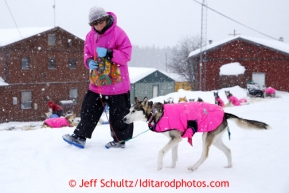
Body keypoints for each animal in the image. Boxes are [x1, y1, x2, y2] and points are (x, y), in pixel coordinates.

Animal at [121, 97, 268, 171]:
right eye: (129, 110)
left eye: (133, 111)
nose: (123, 119)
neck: (156, 113)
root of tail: (224, 113)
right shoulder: (175, 139)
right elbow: (173, 156)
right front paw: (171, 167)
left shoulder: (175, 138)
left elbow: (161, 152)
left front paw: (159, 167)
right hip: (215, 140)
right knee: (228, 150)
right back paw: (229, 166)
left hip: (206, 137)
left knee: (205, 155)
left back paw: (194, 167)